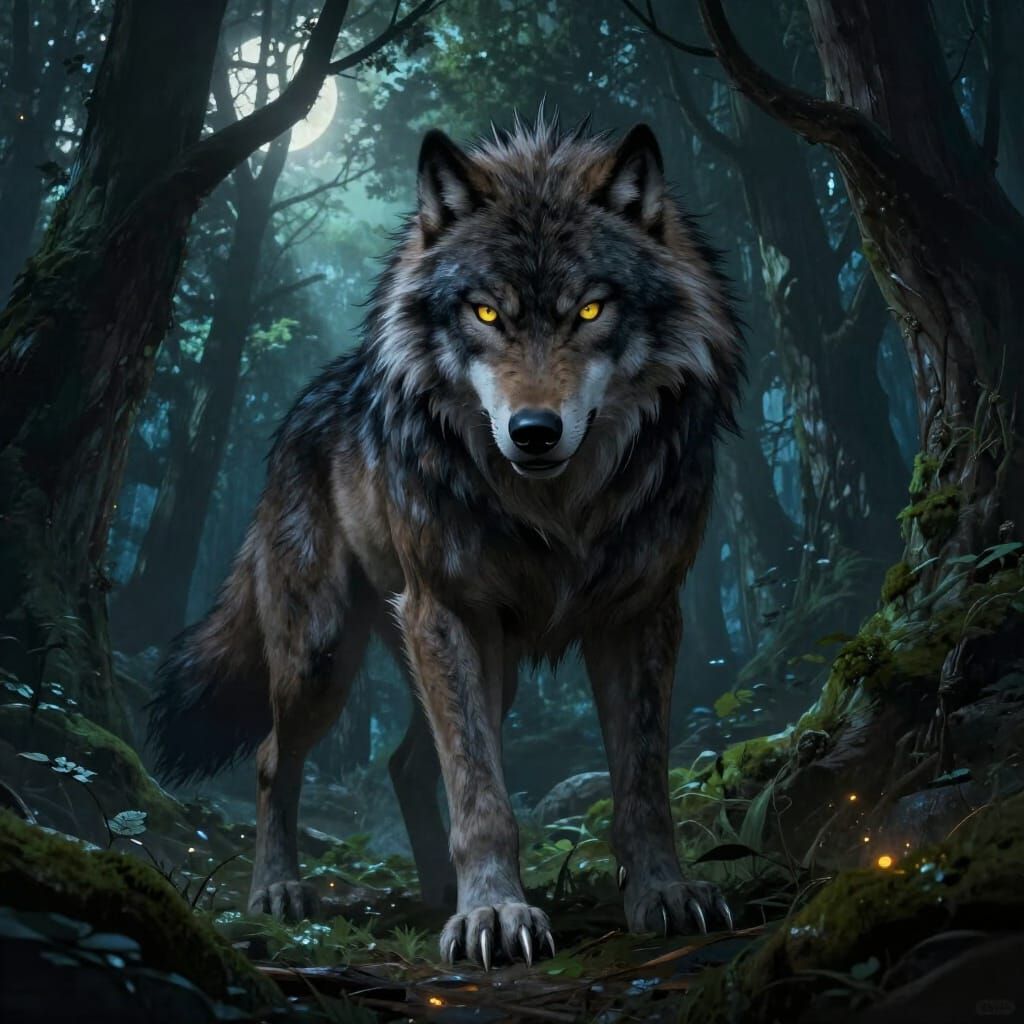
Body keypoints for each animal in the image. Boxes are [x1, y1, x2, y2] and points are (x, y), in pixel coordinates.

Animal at [149, 112, 743, 968]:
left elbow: (642, 783)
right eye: (486, 314)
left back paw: (433, 894)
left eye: (590, 312)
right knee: (271, 759)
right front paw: (494, 911)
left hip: (491, 670)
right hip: (327, 656)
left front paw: (663, 891)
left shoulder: (643, 615)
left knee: (402, 764)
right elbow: (481, 793)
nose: (534, 432)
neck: (556, 507)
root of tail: (303, 407)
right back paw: (279, 891)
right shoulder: (447, 611)